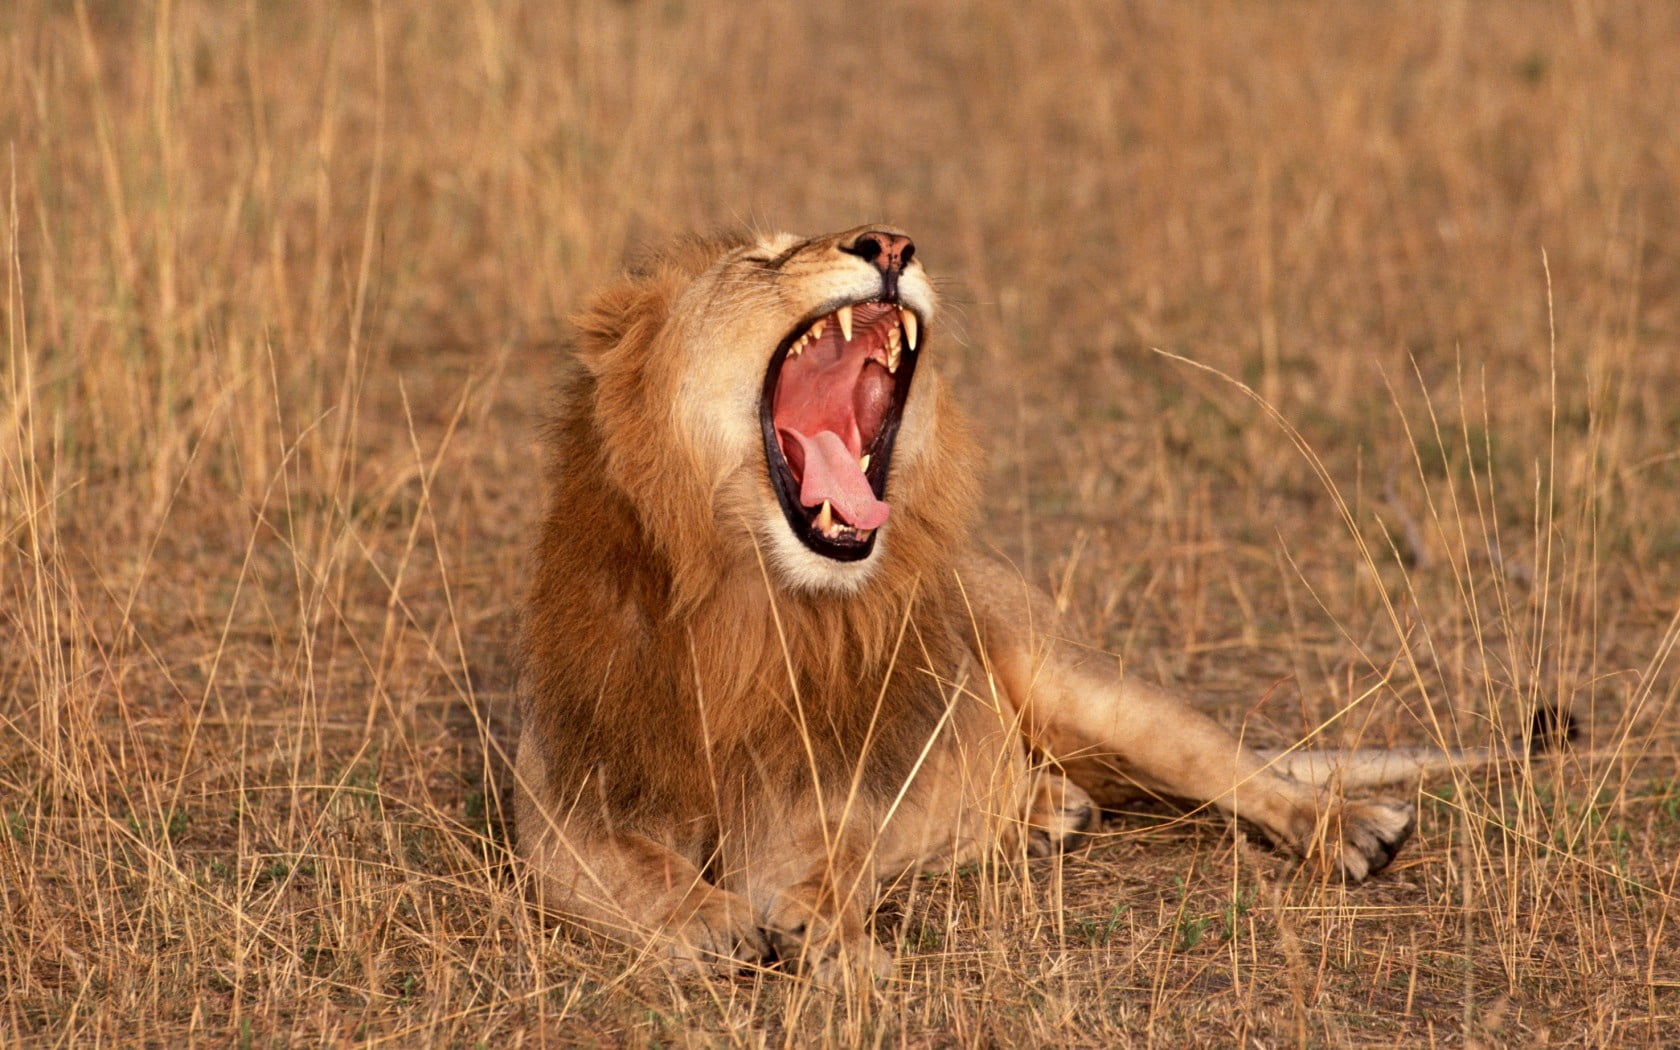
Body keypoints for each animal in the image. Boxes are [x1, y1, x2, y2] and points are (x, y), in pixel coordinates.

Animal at [513, 226, 1539, 984]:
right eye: (764, 256)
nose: (890, 241)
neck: (747, 601)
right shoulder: (564, 806)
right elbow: (627, 867)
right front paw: (707, 918)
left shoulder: (824, 794)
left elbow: (832, 862)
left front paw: (830, 934)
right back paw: (1052, 811)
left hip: (1083, 685)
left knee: (1239, 767)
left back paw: (1352, 830)